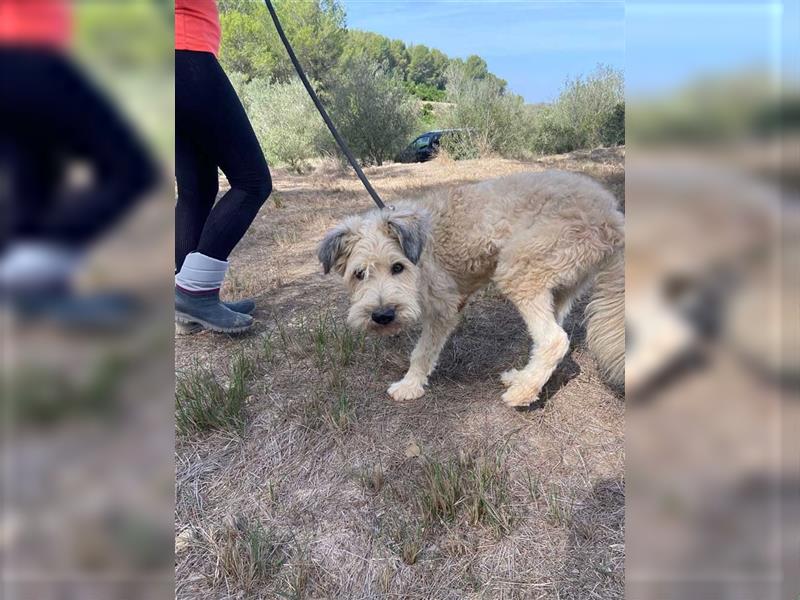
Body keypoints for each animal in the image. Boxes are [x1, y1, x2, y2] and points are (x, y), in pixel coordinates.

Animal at [318, 171, 624, 410]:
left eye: (397, 267)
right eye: (359, 274)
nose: (382, 316)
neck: (420, 251)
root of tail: (611, 216)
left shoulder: (443, 308)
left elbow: (422, 351)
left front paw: (409, 385)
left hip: (518, 269)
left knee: (554, 340)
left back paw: (521, 392)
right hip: (556, 288)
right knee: (550, 337)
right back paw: (523, 378)